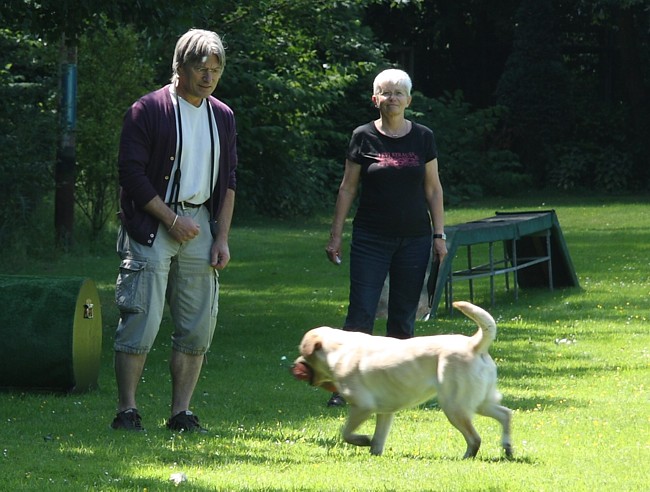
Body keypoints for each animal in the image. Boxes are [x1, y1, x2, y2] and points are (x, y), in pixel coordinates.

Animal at [294, 302, 512, 460]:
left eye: (304, 353)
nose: (294, 366)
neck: (337, 349)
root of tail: (474, 344)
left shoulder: (362, 407)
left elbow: (346, 433)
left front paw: (363, 440)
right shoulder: (385, 412)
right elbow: (378, 439)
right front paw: (374, 454)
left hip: (454, 406)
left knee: (475, 438)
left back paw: (466, 457)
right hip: (478, 402)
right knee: (506, 414)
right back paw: (507, 448)